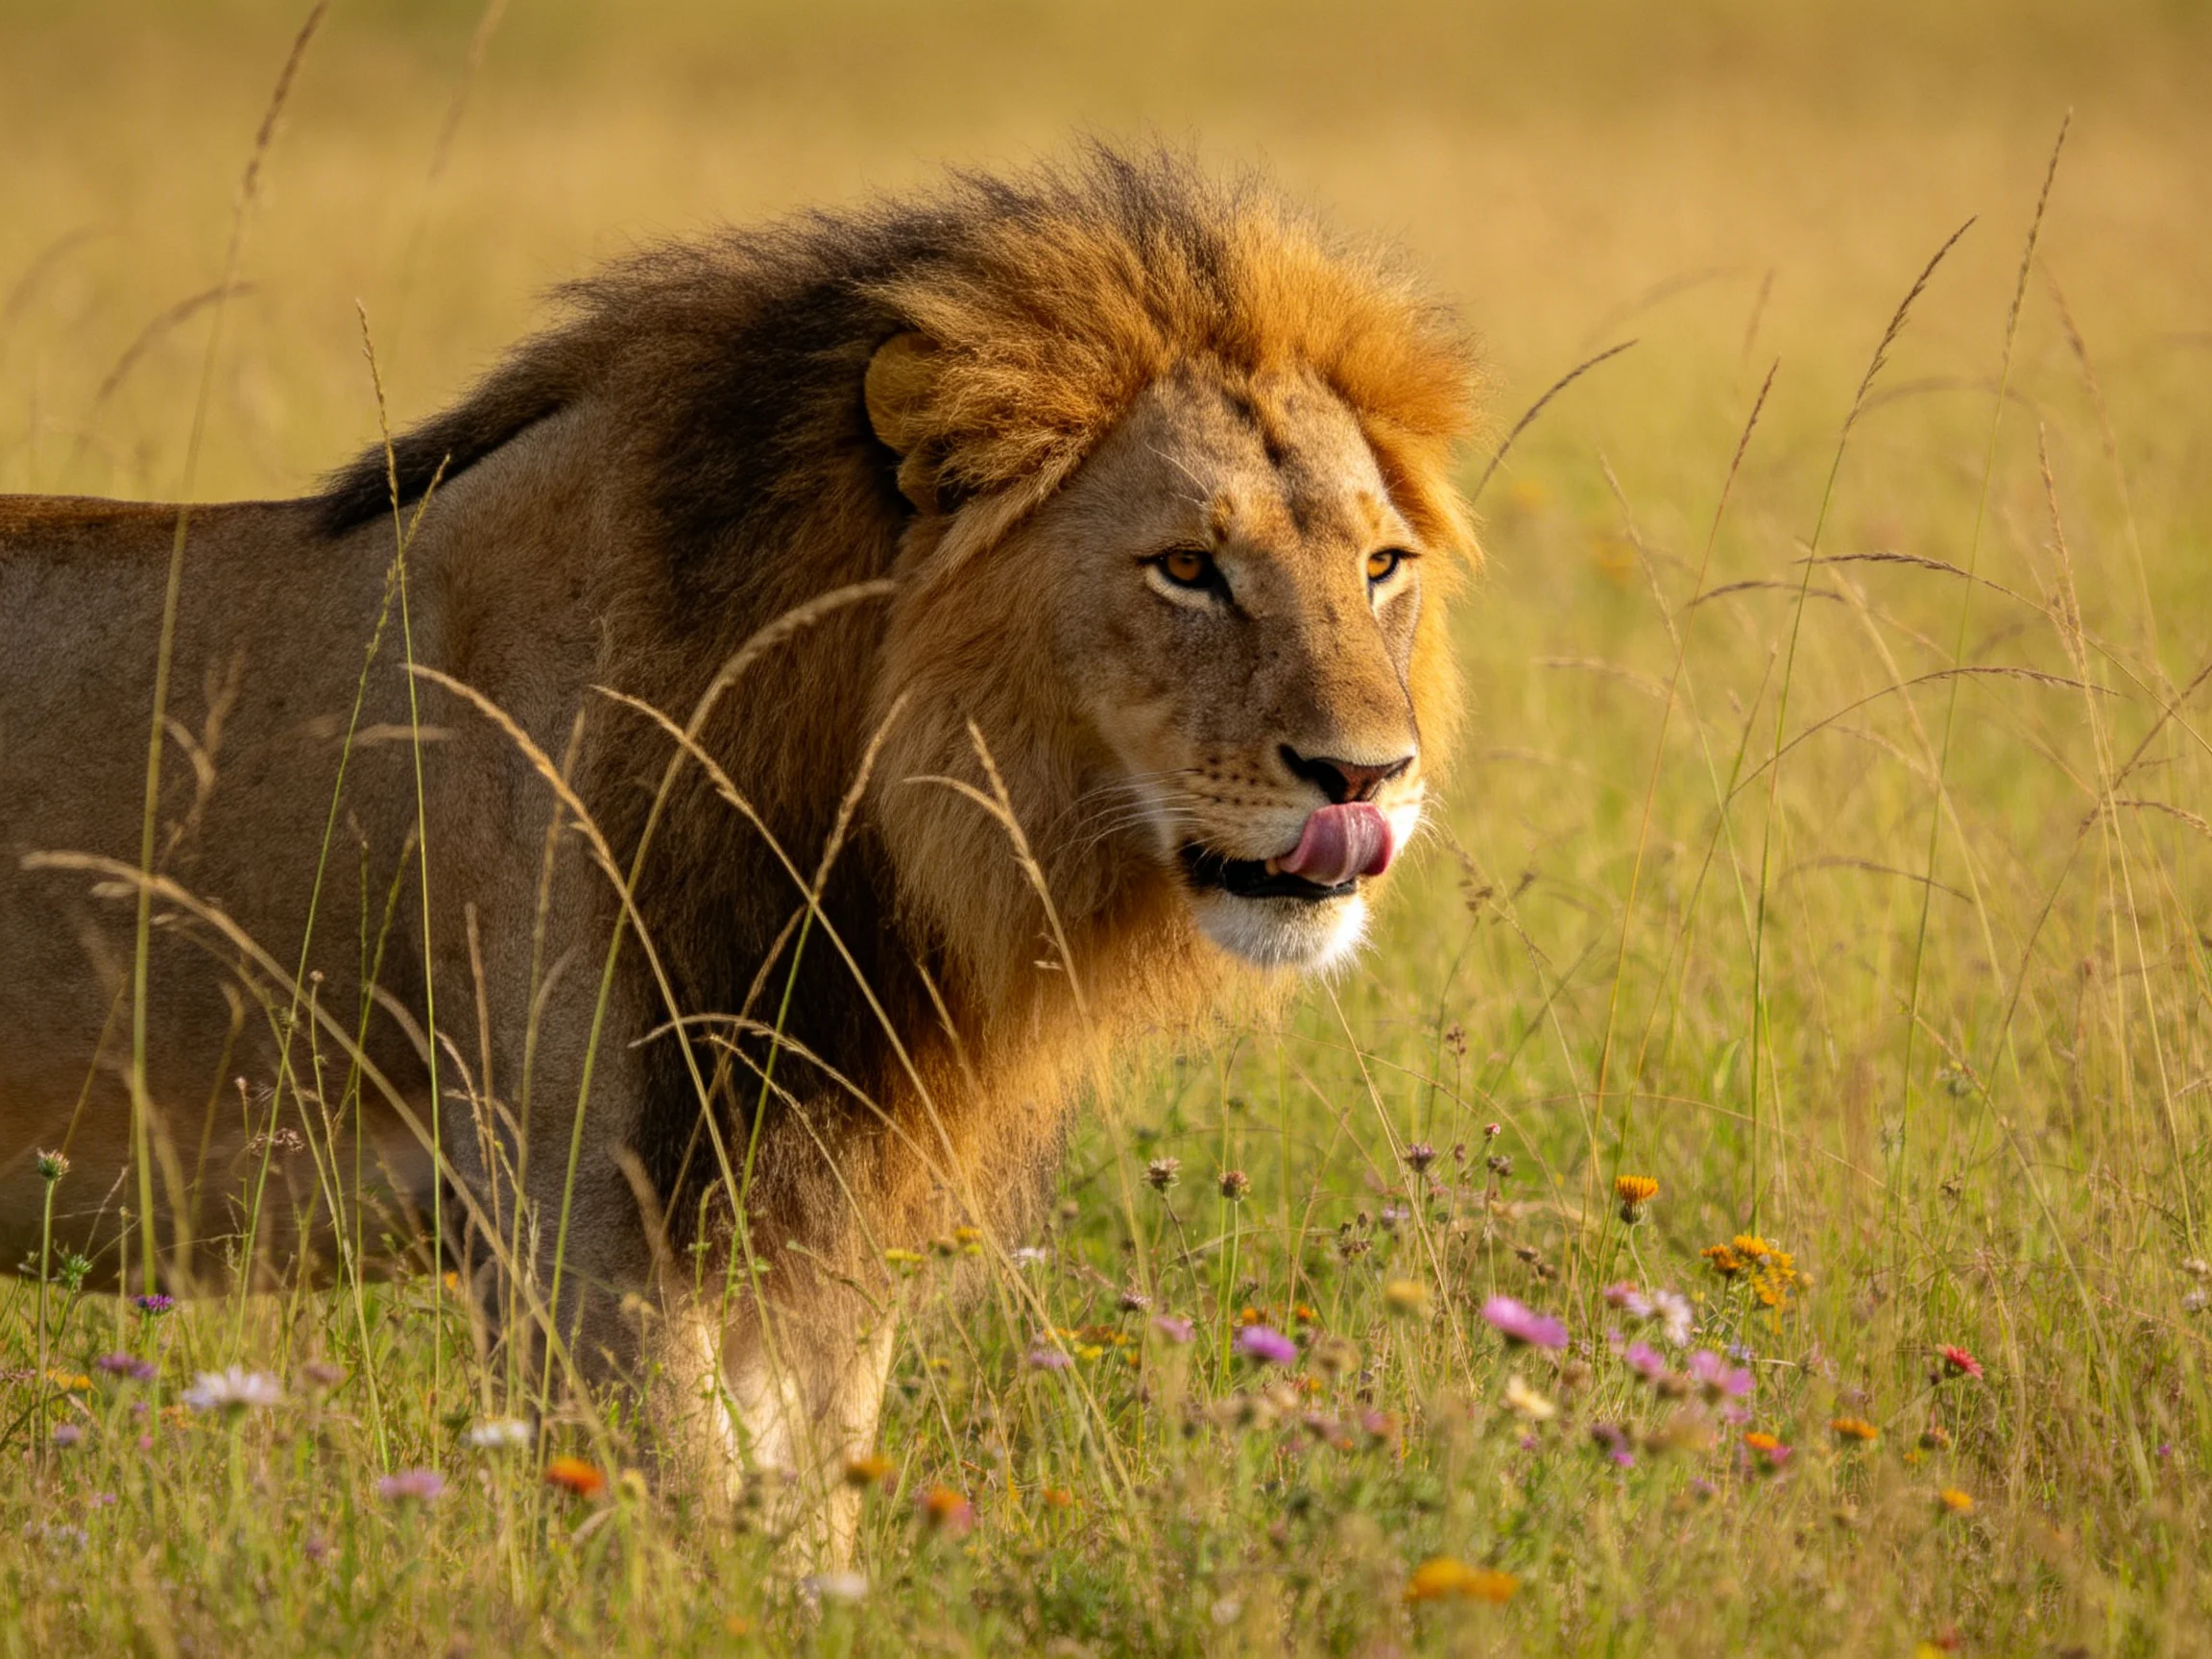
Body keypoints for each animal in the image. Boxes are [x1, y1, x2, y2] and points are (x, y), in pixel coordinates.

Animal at [0, 148, 1477, 1558]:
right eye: (1185, 569)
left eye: (1381, 566)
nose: (1369, 778)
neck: (872, 832)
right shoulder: (573, 1212)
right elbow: (693, 1532)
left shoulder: (813, 1203)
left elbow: (809, 1520)